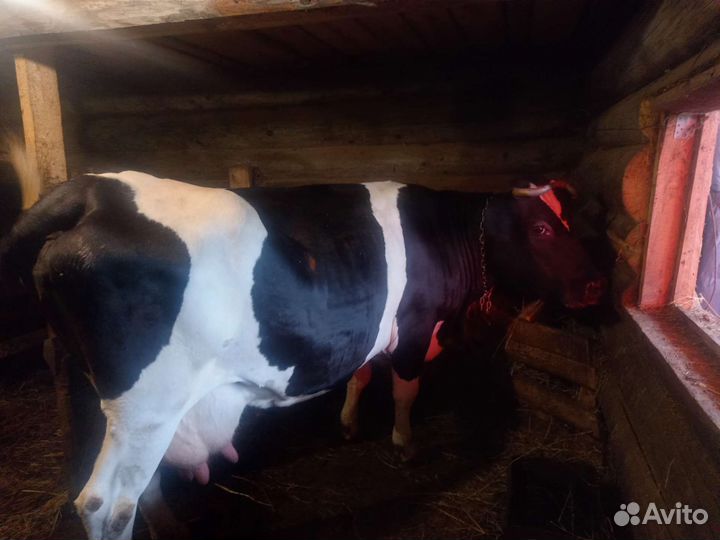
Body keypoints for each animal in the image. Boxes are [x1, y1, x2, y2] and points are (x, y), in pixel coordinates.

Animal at [0, 157, 604, 540]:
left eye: (568, 219)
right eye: (543, 230)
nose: (596, 285)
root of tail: (92, 190)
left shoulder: (367, 330)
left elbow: (362, 374)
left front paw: (349, 423)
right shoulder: (414, 324)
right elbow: (406, 389)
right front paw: (404, 443)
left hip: (96, 386)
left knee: (135, 487)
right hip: (147, 404)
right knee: (104, 504)